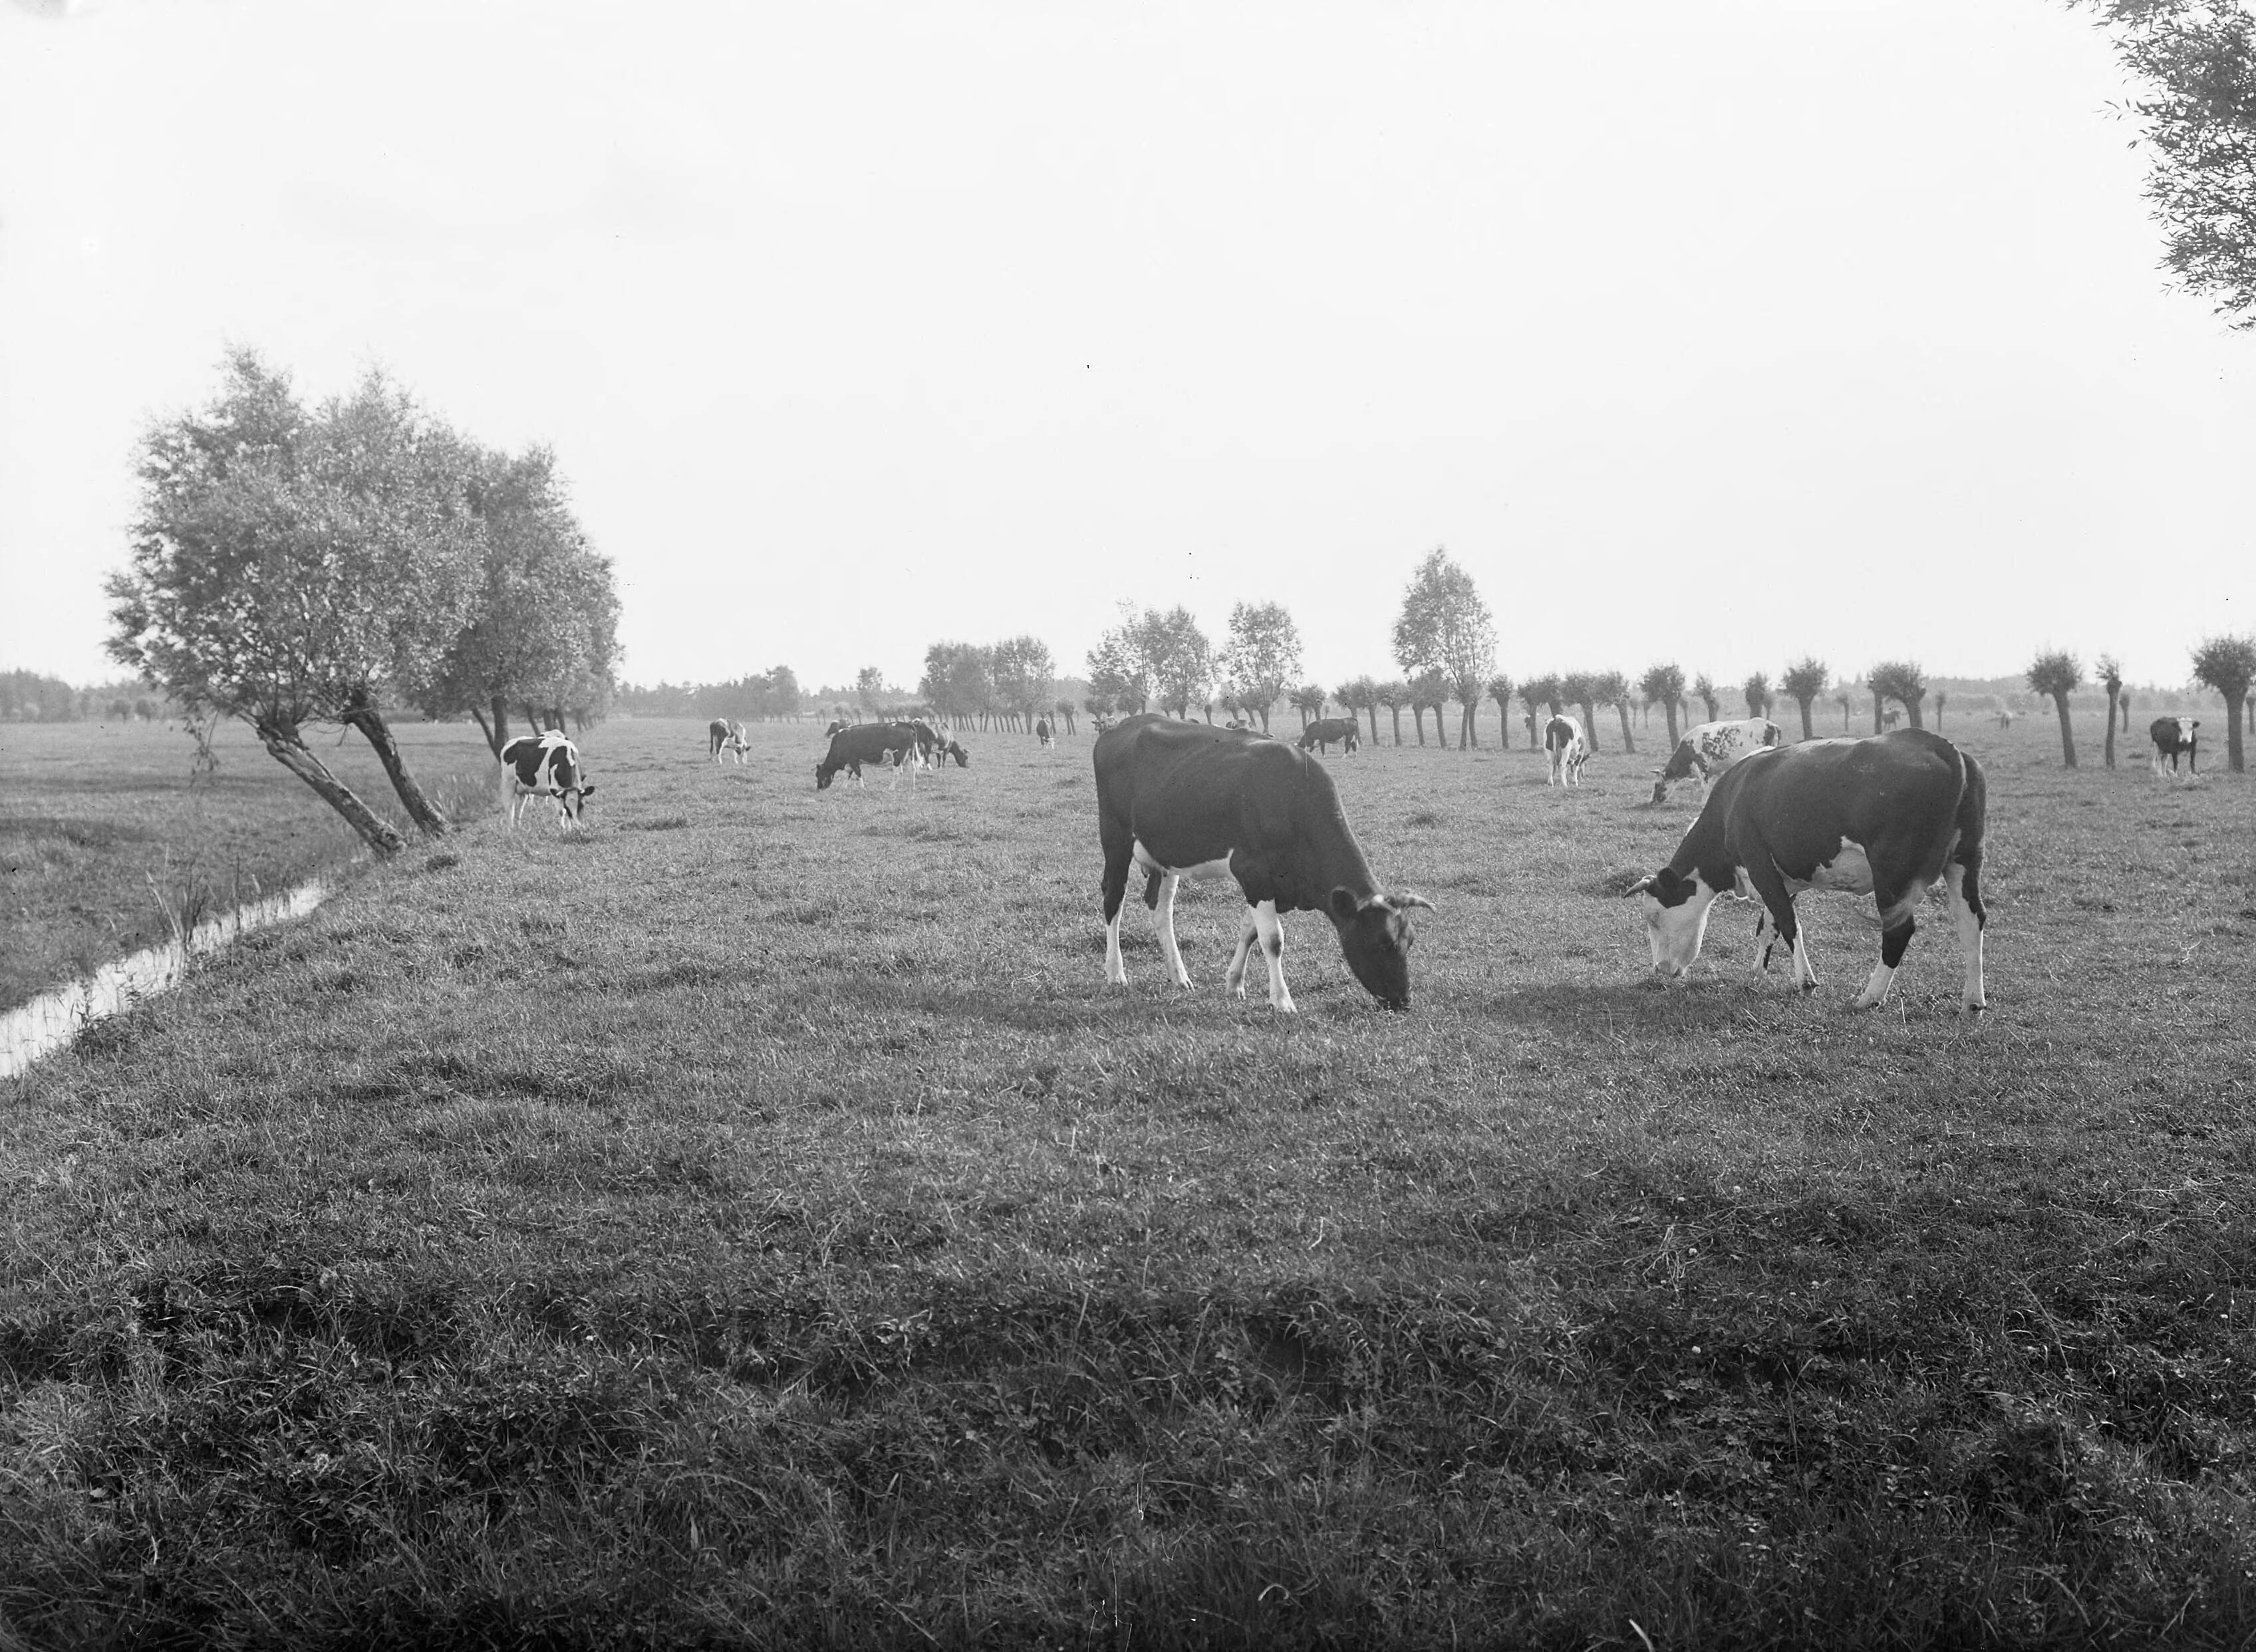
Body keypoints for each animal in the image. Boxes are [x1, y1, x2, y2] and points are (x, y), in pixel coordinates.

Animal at [501, 732, 597, 829]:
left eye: (582, 805)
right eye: (567, 807)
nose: (578, 826)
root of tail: (511, 742)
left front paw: (570, 828)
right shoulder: (555, 789)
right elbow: (561, 811)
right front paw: (564, 829)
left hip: (523, 788)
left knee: (520, 807)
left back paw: (519, 827)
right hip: (508, 782)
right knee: (509, 807)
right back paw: (510, 829)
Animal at [816, 722, 922, 790]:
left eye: (818, 775)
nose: (819, 788)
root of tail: (903, 724)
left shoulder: (853, 760)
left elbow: (858, 773)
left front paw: (862, 788)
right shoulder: (850, 763)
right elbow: (849, 774)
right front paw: (843, 787)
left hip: (896, 756)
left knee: (897, 773)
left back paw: (891, 788)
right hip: (910, 754)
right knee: (913, 769)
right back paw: (912, 787)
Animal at [1095, 714, 1433, 1013]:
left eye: (1410, 941)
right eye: (1382, 943)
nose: (1404, 1001)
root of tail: (1119, 726)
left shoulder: (1270, 882)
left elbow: (1249, 931)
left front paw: (1234, 983)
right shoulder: (1253, 871)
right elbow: (1273, 940)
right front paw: (1281, 1001)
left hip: (1165, 854)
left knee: (1160, 908)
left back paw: (1179, 976)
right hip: (1115, 838)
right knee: (1114, 899)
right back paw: (1115, 973)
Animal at [1627, 728, 1987, 1013]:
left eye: (1654, 918)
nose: (1659, 969)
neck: (1733, 799)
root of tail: (1943, 746)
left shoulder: (1759, 864)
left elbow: (1788, 923)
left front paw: (1805, 981)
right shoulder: (1783, 879)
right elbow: (1768, 925)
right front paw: (1757, 971)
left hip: (1892, 874)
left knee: (1899, 932)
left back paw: (1870, 997)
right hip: (1964, 861)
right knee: (1972, 922)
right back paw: (1973, 1001)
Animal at [1649, 718, 1783, 805]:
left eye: (1657, 784)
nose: (1652, 801)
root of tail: (1770, 724)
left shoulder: (1702, 765)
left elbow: (1705, 787)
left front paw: (1703, 803)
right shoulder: (1717, 770)